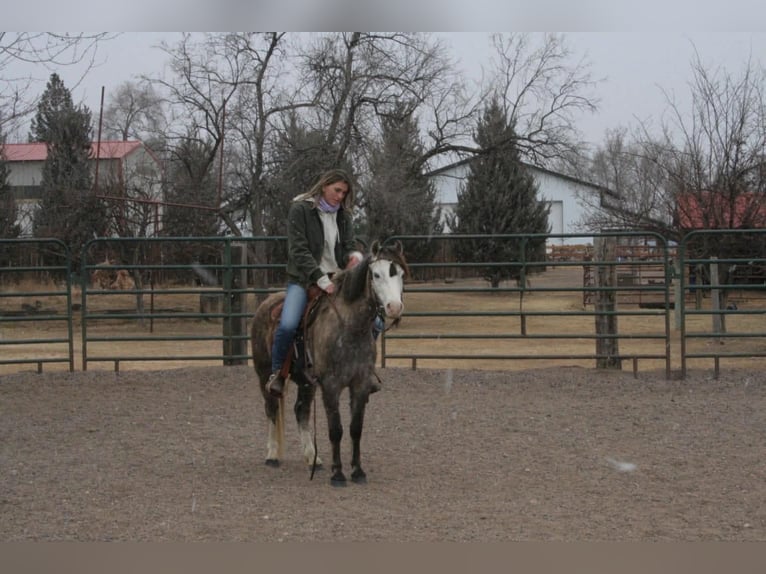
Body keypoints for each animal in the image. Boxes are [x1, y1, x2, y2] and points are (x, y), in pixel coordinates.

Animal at [250, 240, 409, 486]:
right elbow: (336, 429)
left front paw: (358, 471)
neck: (350, 327)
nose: (394, 307)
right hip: (264, 374)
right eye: (376, 274)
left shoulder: (360, 384)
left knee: (301, 411)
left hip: (306, 382)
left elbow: (355, 429)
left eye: (400, 273)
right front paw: (338, 474)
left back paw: (312, 458)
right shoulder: (331, 386)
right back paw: (272, 455)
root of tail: (265, 304)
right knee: (271, 408)